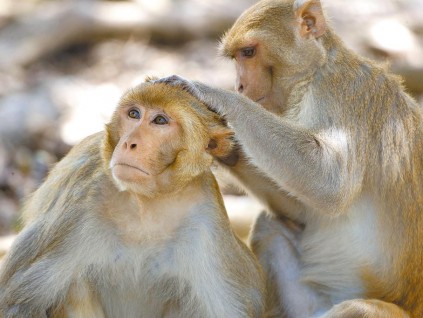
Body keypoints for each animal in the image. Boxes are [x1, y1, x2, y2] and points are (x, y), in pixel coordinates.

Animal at [0, 81, 264, 318]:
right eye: (134, 114)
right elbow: (15, 304)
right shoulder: (80, 201)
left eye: (160, 120)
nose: (129, 143)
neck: (147, 203)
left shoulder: (207, 222)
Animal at [158, 0, 423, 318]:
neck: (313, 74)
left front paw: (212, 95)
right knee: (270, 226)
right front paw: (223, 146)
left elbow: (330, 184)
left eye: (248, 52)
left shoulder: (343, 93)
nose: (240, 86)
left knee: (359, 309)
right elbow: (301, 211)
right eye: (238, 57)